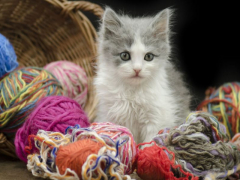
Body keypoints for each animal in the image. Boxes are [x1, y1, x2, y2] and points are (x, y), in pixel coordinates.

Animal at [94, 7, 191, 144]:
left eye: (148, 56)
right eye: (125, 55)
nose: (137, 69)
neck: (133, 93)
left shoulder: (157, 116)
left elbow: (151, 140)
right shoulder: (109, 113)